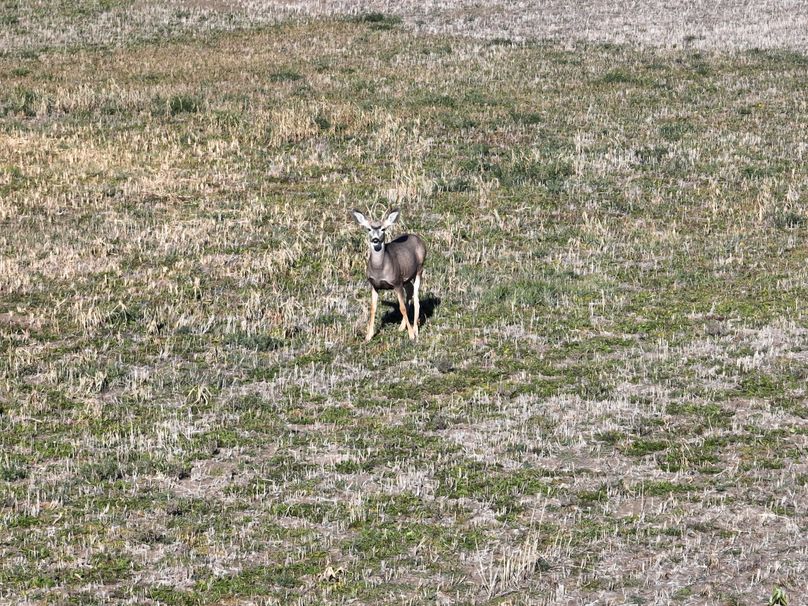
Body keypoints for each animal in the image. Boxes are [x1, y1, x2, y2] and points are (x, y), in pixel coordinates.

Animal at [351, 208, 426, 341]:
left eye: (383, 229)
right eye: (368, 229)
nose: (375, 240)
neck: (380, 270)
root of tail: (419, 239)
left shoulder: (396, 282)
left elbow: (402, 308)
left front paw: (411, 335)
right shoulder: (374, 285)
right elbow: (373, 308)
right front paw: (368, 336)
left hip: (419, 269)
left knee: (416, 298)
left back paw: (415, 330)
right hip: (406, 278)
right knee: (410, 290)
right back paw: (401, 327)